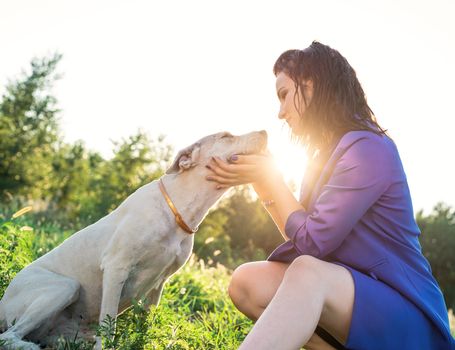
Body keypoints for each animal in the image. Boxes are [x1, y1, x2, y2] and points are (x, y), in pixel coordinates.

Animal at [0, 130, 268, 348]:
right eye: (226, 136)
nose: (265, 132)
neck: (176, 210)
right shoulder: (116, 268)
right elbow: (109, 327)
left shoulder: (159, 284)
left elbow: (144, 327)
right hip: (65, 286)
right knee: (9, 337)